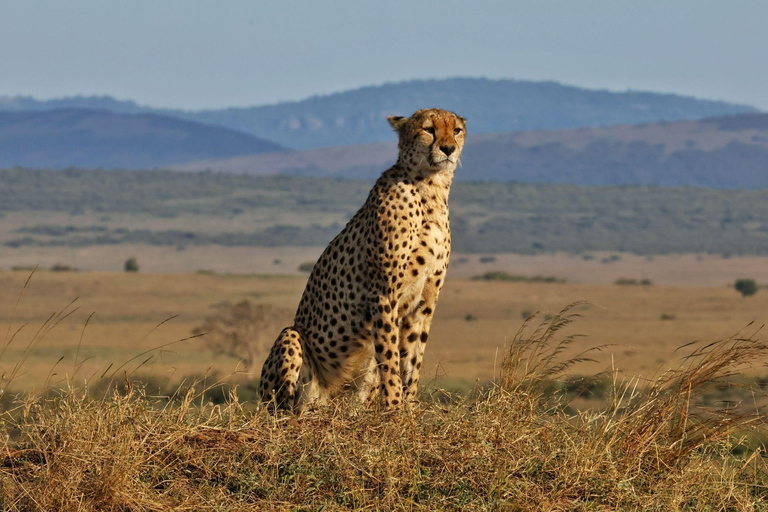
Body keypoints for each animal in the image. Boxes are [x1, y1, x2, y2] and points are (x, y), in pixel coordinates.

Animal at [258, 108, 464, 412]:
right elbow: (390, 359)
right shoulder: (384, 294)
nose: (448, 148)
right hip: (291, 342)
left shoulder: (425, 302)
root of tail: (325, 403)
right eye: (429, 129)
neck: (431, 188)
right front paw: (394, 408)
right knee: (283, 408)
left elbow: (412, 358)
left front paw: (410, 408)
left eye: (457, 130)